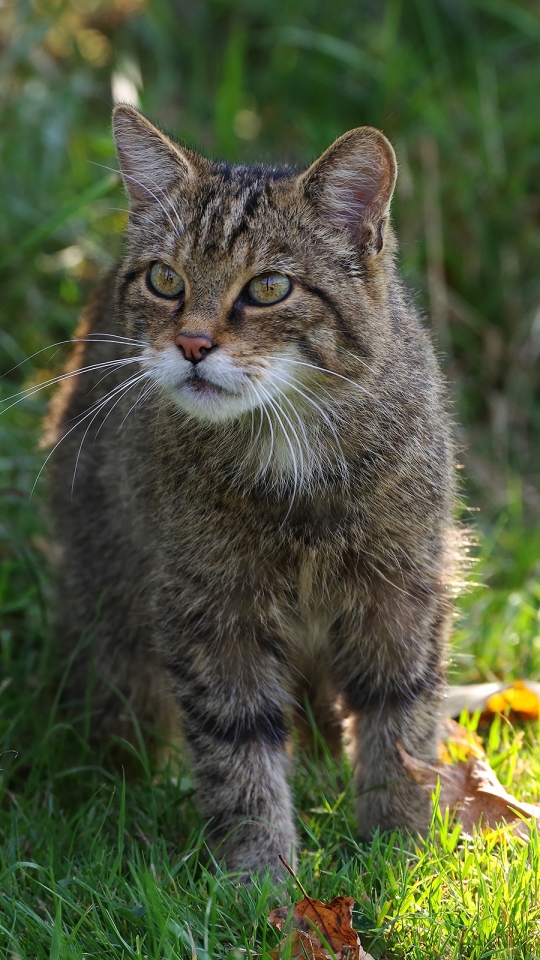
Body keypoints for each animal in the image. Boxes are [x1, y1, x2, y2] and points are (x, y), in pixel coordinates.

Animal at [46, 105, 458, 876]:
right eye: (165, 280)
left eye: (269, 288)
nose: (192, 345)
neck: (290, 450)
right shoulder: (209, 609)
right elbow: (239, 750)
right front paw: (260, 876)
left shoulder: (404, 588)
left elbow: (400, 724)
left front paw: (397, 849)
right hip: (113, 606)